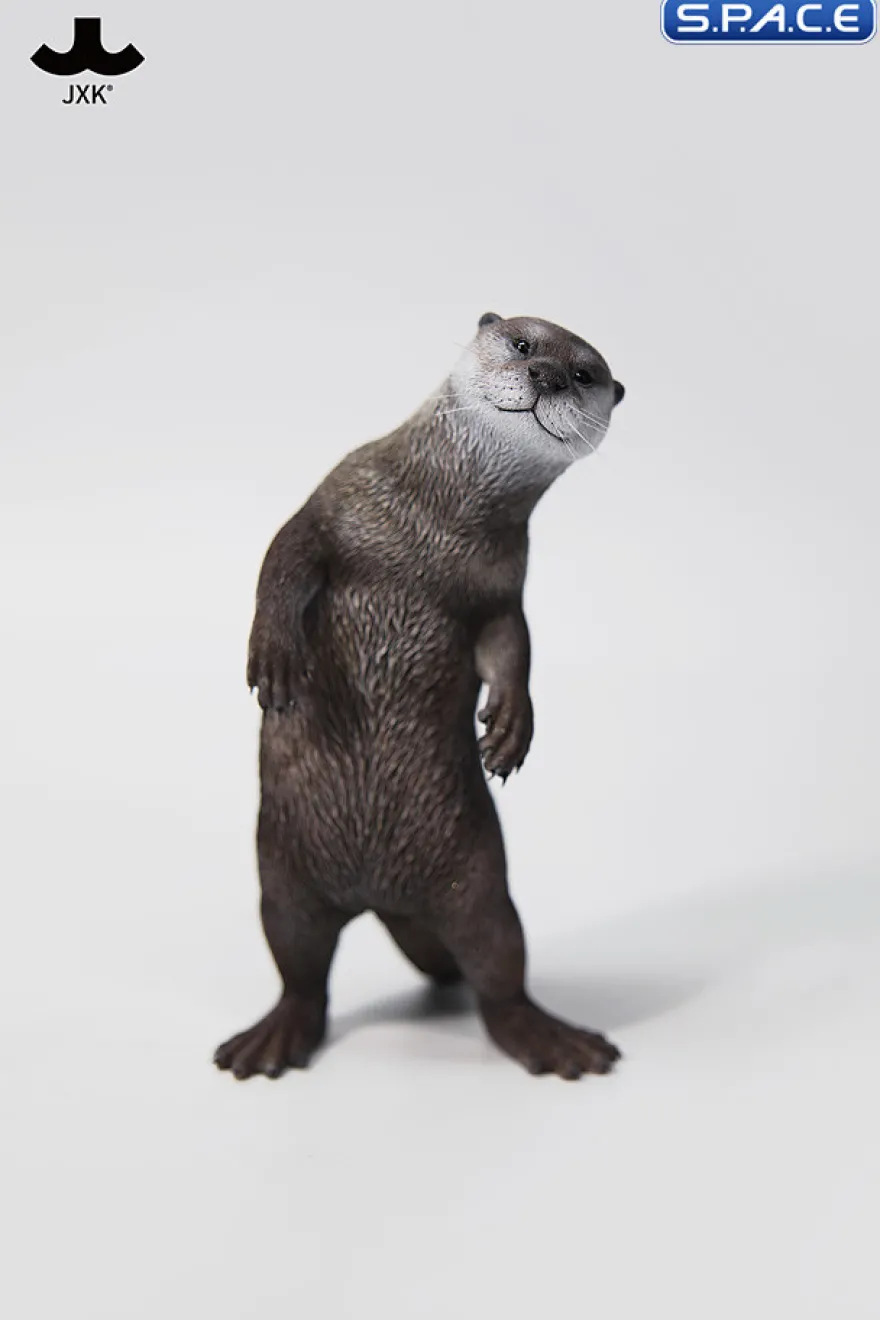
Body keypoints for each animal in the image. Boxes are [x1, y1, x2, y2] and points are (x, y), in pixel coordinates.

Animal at [214, 313, 626, 1082]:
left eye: (585, 374)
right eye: (523, 344)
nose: (547, 377)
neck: (435, 529)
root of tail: (382, 900)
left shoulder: (502, 584)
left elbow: (512, 645)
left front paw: (512, 727)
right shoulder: (335, 499)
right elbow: (283, 557)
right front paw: (275, 659)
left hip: (481, 884)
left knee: (500, 973)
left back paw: (552, 1039)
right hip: (283, 880)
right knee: (300, 971)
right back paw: (272, 1039)